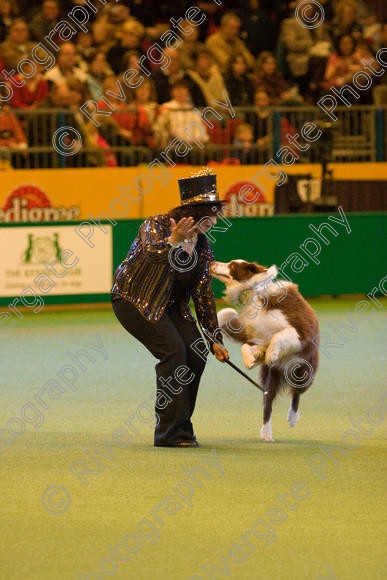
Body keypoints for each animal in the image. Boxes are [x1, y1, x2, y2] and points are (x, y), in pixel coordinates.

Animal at [211, 260, 320, 442]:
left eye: (232, 265)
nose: (211, 262)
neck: (253, 292)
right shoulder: (257, 337)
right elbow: (246, 345)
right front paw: (250, 359)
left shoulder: (301, 331)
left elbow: (279, 335)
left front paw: (272, 354)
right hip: (269, 377)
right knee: (267, 402)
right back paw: (266, 433)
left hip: (303, 371)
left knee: (296, 394)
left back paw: (292, 418)